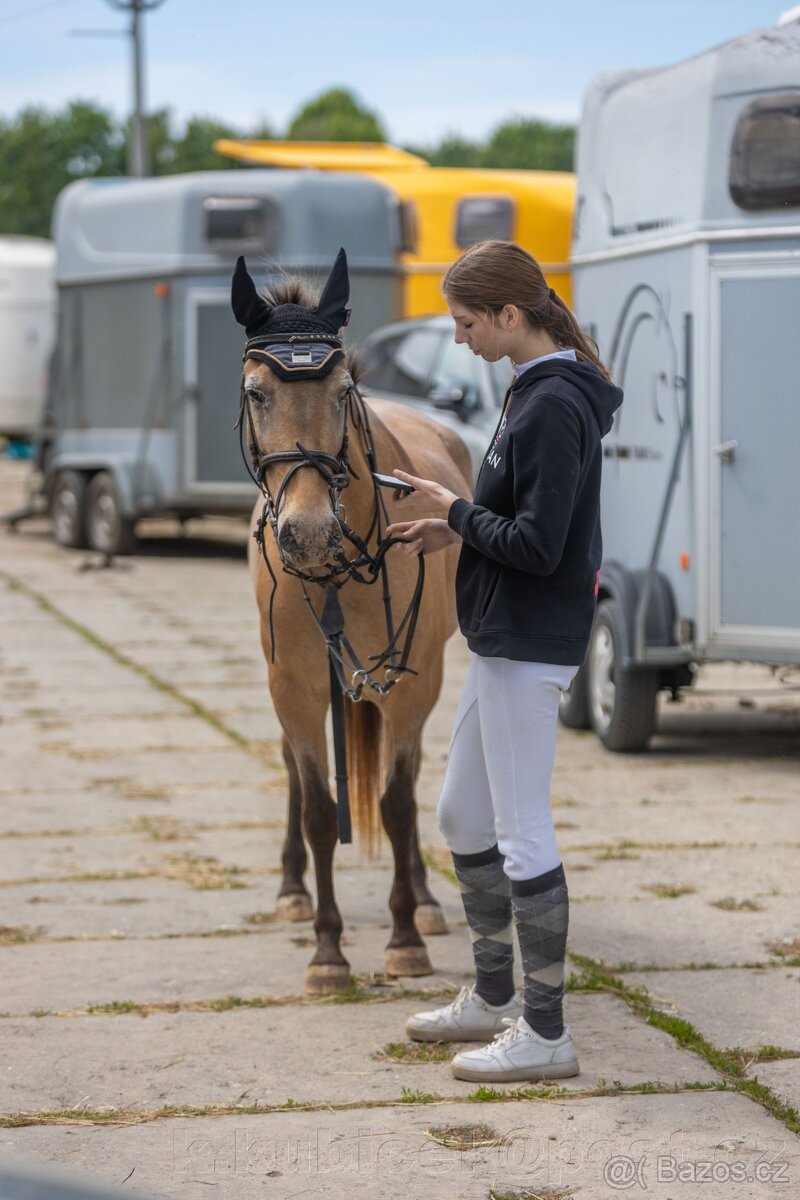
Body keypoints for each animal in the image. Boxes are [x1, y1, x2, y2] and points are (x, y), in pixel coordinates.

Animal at [231, 249, 473, 995]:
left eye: (341, 392)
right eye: (256, 393)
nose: (308, 534)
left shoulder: (409, 683)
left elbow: (395, 803)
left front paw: (403, 938)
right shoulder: (295, 687)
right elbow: (317, 808)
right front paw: (327, 951)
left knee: (410, 777)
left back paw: (423, 900)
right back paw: (291, 890)